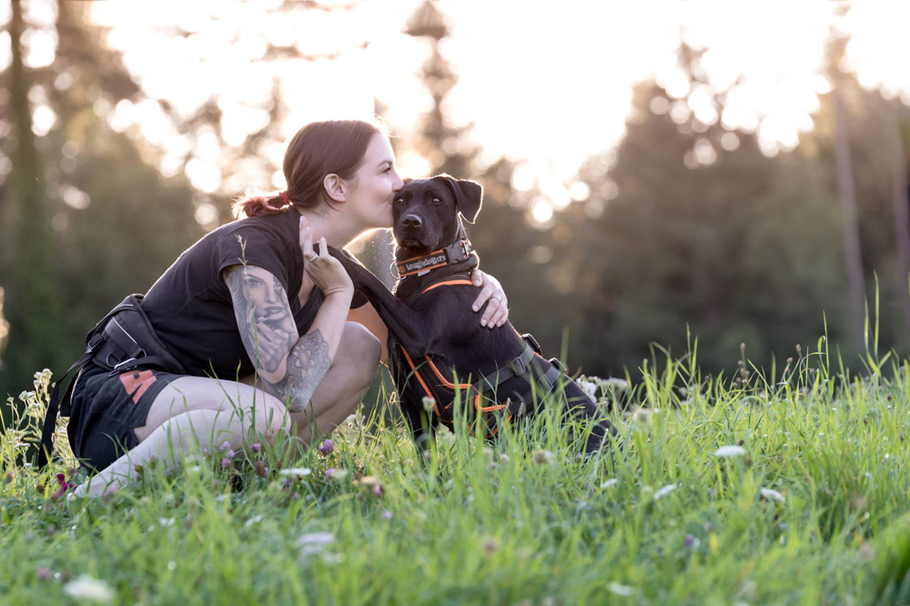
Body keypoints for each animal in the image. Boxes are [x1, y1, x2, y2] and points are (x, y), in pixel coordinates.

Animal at [332, 176, 616, 456]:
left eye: (436, 200)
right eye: (400, 200)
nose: (410, 221)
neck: (429, 270)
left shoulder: (419, 333)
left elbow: (372, 280)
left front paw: (338, 255)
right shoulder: (413, 407)